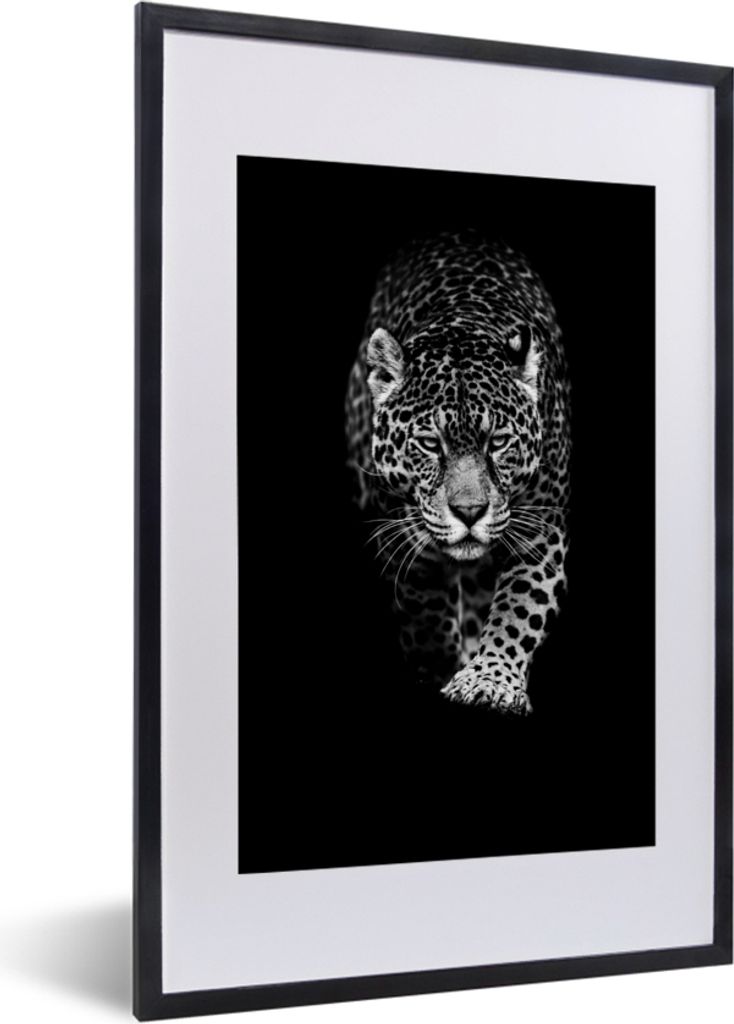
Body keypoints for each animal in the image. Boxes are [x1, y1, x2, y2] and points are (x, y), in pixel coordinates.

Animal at [344, 229, 571, 716]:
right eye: (431, 444)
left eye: (498, 443)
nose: (470, 512)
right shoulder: (403, 537)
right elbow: (424, 612)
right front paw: (440, 669)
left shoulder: (540, 530)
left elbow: (519, 608)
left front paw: (490, 681)